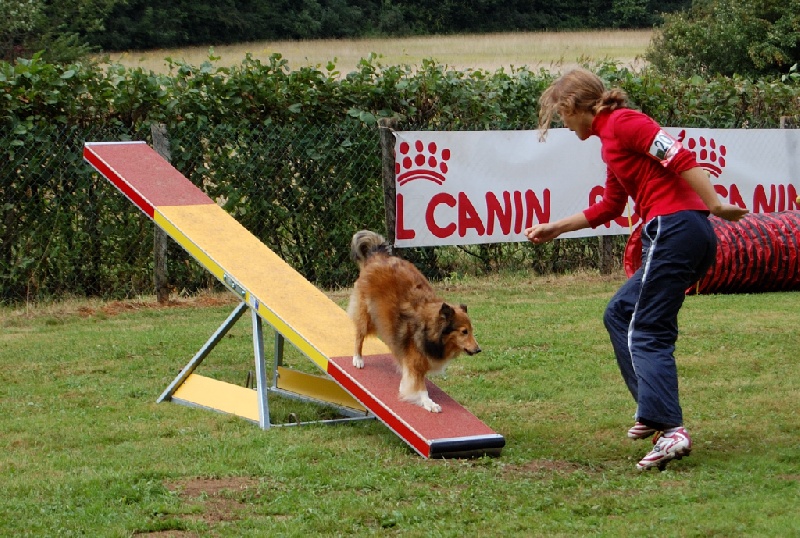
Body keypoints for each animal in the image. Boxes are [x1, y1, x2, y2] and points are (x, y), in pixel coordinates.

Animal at [346, 229, 482, 410]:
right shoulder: (414, 364)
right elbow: (420, 387)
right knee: (359, 335)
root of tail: (378, 256)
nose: (478, 350)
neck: (429, 330)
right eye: (464, 332)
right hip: (366, 316)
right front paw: (429, 404)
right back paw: (358, 359)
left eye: (471, 331)